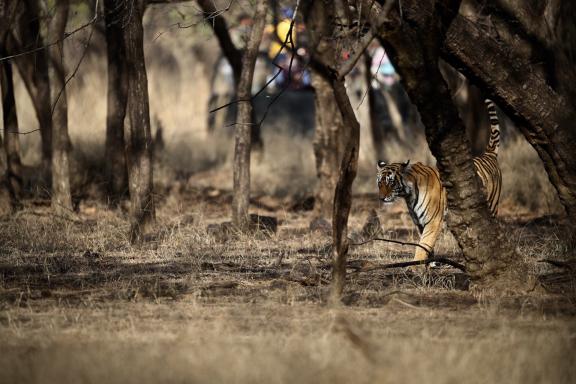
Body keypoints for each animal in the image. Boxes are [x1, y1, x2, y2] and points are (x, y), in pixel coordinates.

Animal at [376, 99, 502, 260]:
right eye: (380, 183)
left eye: (391, 183)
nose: (381, 198)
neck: (408, 195)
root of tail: (488, 155)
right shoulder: (419, 222)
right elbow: (425, 245)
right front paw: (429, 263)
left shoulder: (433, 221)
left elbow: (423, 244)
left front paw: (416, 264)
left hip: (491, 206)